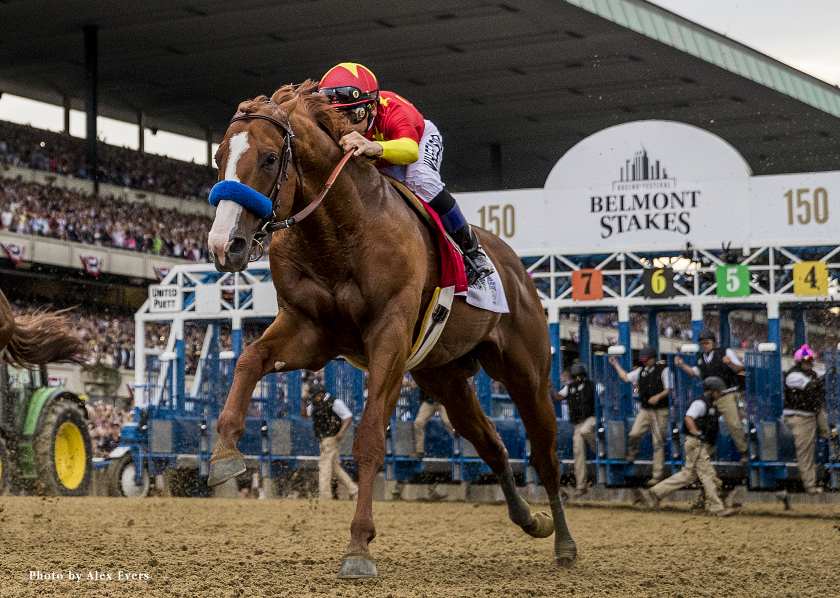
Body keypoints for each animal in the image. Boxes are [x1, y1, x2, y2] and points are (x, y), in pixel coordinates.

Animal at [206, 82, 576, 580]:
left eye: (267, 158)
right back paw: (530, 520)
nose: (224, 245)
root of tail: (517, 267)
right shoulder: (309, 331)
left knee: (545, 454)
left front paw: (359, 547)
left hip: (527, 373)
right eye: (219, 155)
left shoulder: (390, 336)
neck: (341, 230)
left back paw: (565, 543)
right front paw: (224, 453)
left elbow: (367, 441)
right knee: (492, 444)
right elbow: (249, 359)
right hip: (445, 377)